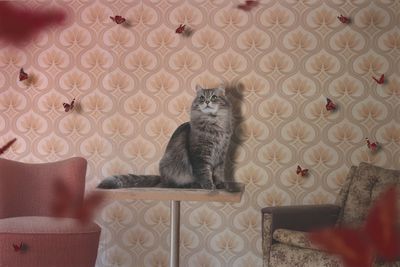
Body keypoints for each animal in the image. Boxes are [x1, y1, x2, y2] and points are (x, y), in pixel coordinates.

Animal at [97, 84, 234, 191]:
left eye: (214, 97)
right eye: (201, 98)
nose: (207, 101)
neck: (214, 123)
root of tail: (161, 178)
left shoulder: (221, 154)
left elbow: (218, 173)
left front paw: (220, 185)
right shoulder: (200, 154)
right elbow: (204, 172)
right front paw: (208, 186)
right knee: (172, 184)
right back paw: (191, 185)